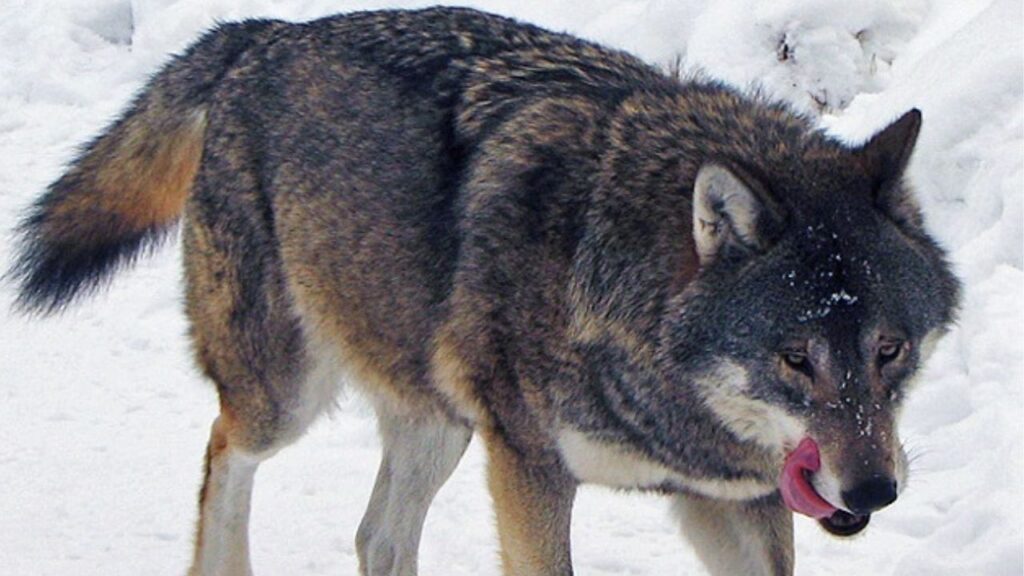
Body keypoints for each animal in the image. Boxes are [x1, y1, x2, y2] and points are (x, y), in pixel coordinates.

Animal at [9, 6, 959, 576]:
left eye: (890, 349)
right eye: (796, 358)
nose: (874, 491)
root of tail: (266, 33)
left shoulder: (735, 500)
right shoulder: (528, 470)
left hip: (440, 422)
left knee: (377, 536)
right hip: (288, 398)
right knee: (222, 453)